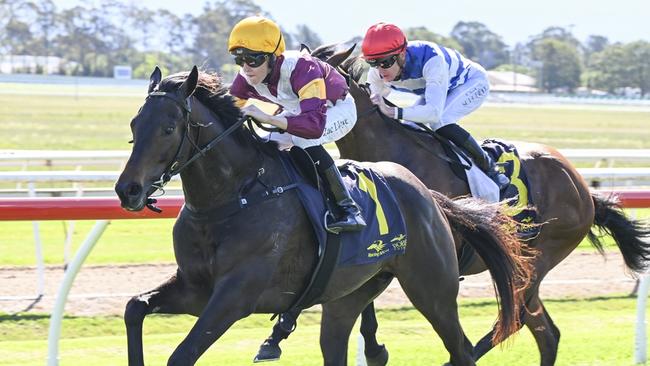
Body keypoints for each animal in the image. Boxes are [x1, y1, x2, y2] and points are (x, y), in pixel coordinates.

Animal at [114, 66, 536, 366]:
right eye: (134, 124)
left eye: (169, 128)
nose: (127, 190)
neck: (233, 197)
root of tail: (429, 195)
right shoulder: (195, 288)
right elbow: (134, 307)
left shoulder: (235, 296)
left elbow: (181, 355)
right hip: (347, 296)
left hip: (433, 289)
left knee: (461, 349)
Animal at [304, 45, 648, 366]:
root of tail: (582, 188)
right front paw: (374, 346)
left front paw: (375, 347)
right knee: (547, 333)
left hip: (539, 257)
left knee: (514, 319)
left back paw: (461, 354)